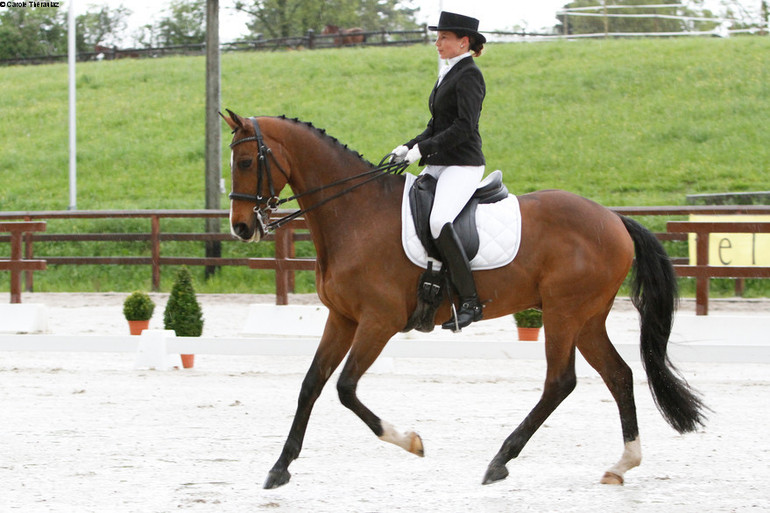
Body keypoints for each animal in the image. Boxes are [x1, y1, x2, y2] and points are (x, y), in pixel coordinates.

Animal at [219, 111, 704, 488]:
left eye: (245, 160)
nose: (242, 228)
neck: (355, 214)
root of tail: (615, 219)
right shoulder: (342, 318)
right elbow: (310, 385)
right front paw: (279, 468)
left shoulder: (378, 322)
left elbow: (344, 388)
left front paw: (411, 442)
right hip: (586, 318)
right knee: (619, 375)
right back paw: (622, 464)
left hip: (564, 313)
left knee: (560, 382)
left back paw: (500, 460)